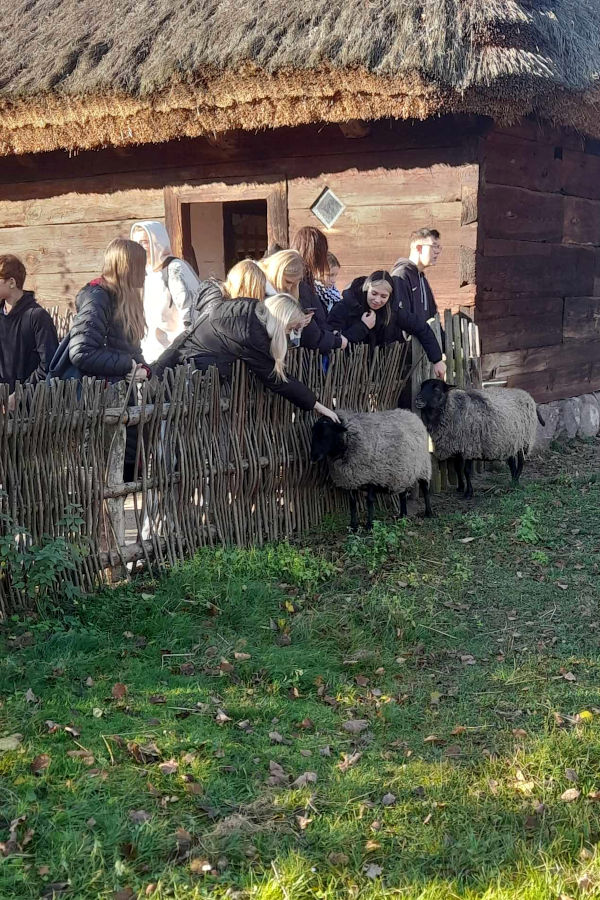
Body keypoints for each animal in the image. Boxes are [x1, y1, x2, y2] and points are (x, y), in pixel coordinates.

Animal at [414, 374, 548, 496]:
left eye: (436, 389)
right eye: (421, 386)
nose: (418, 399)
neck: (452, 409)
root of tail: (529, 396)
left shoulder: (470, 446)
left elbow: (466, 471)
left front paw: (469, 493)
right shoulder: (457, 447)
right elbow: (458, 468)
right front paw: (461, 487)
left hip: (524, 439)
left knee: (521, 461)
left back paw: (516, 480)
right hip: (510, 439)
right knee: (511, 461)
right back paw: (513, 480)